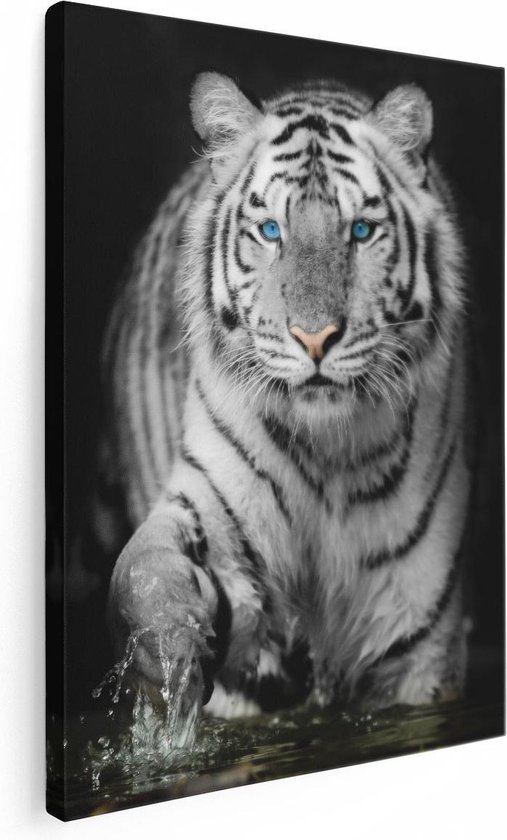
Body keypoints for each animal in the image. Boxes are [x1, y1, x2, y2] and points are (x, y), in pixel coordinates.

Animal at [102, 71, 471, 721]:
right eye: (271, 231)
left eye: (361, 231)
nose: (316, 337)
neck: (330, 456)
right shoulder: (211, 506)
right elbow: (142, 568)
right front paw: (170, 649)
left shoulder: (417, 649)